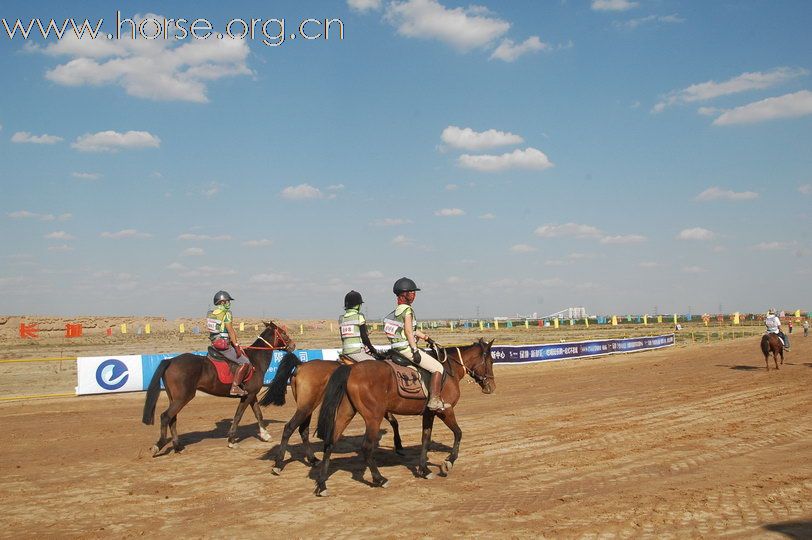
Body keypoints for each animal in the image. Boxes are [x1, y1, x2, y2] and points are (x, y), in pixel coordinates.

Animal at [142, 320, 294, 456]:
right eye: (283, 332)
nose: (293, 345)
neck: (255, 359)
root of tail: (171, 360)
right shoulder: (248, 395)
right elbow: (238, 415)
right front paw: (232, 440)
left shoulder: (251, 395)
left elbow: (258, 413)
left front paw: (265, 435)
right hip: (183, 397)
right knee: (166, 416)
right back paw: (159, 445)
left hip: (175, 398)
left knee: (172, 419)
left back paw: (178, 447)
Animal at [260, 356, 406, 474]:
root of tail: (301, 366)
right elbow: (394, 421)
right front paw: (399, 446)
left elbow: (394, 421)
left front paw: (399, 446)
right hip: (305, 407)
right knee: (289, 428)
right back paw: (278, 464)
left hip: (308, 407)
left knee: (303, 430)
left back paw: (313, 459)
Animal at [314, 340, 494, 496]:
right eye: (491, 361)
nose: (491, 387)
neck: (448, 370)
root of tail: (352, 369)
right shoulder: (444, 411)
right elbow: (458, 433)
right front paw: (448, 462)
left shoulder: (429, 413)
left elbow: (426, 439)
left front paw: (424, 470)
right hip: (373, 418)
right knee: (366, 447)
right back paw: (380, 479)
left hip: (346, 413)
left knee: (330, 443)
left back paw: (322, 484)